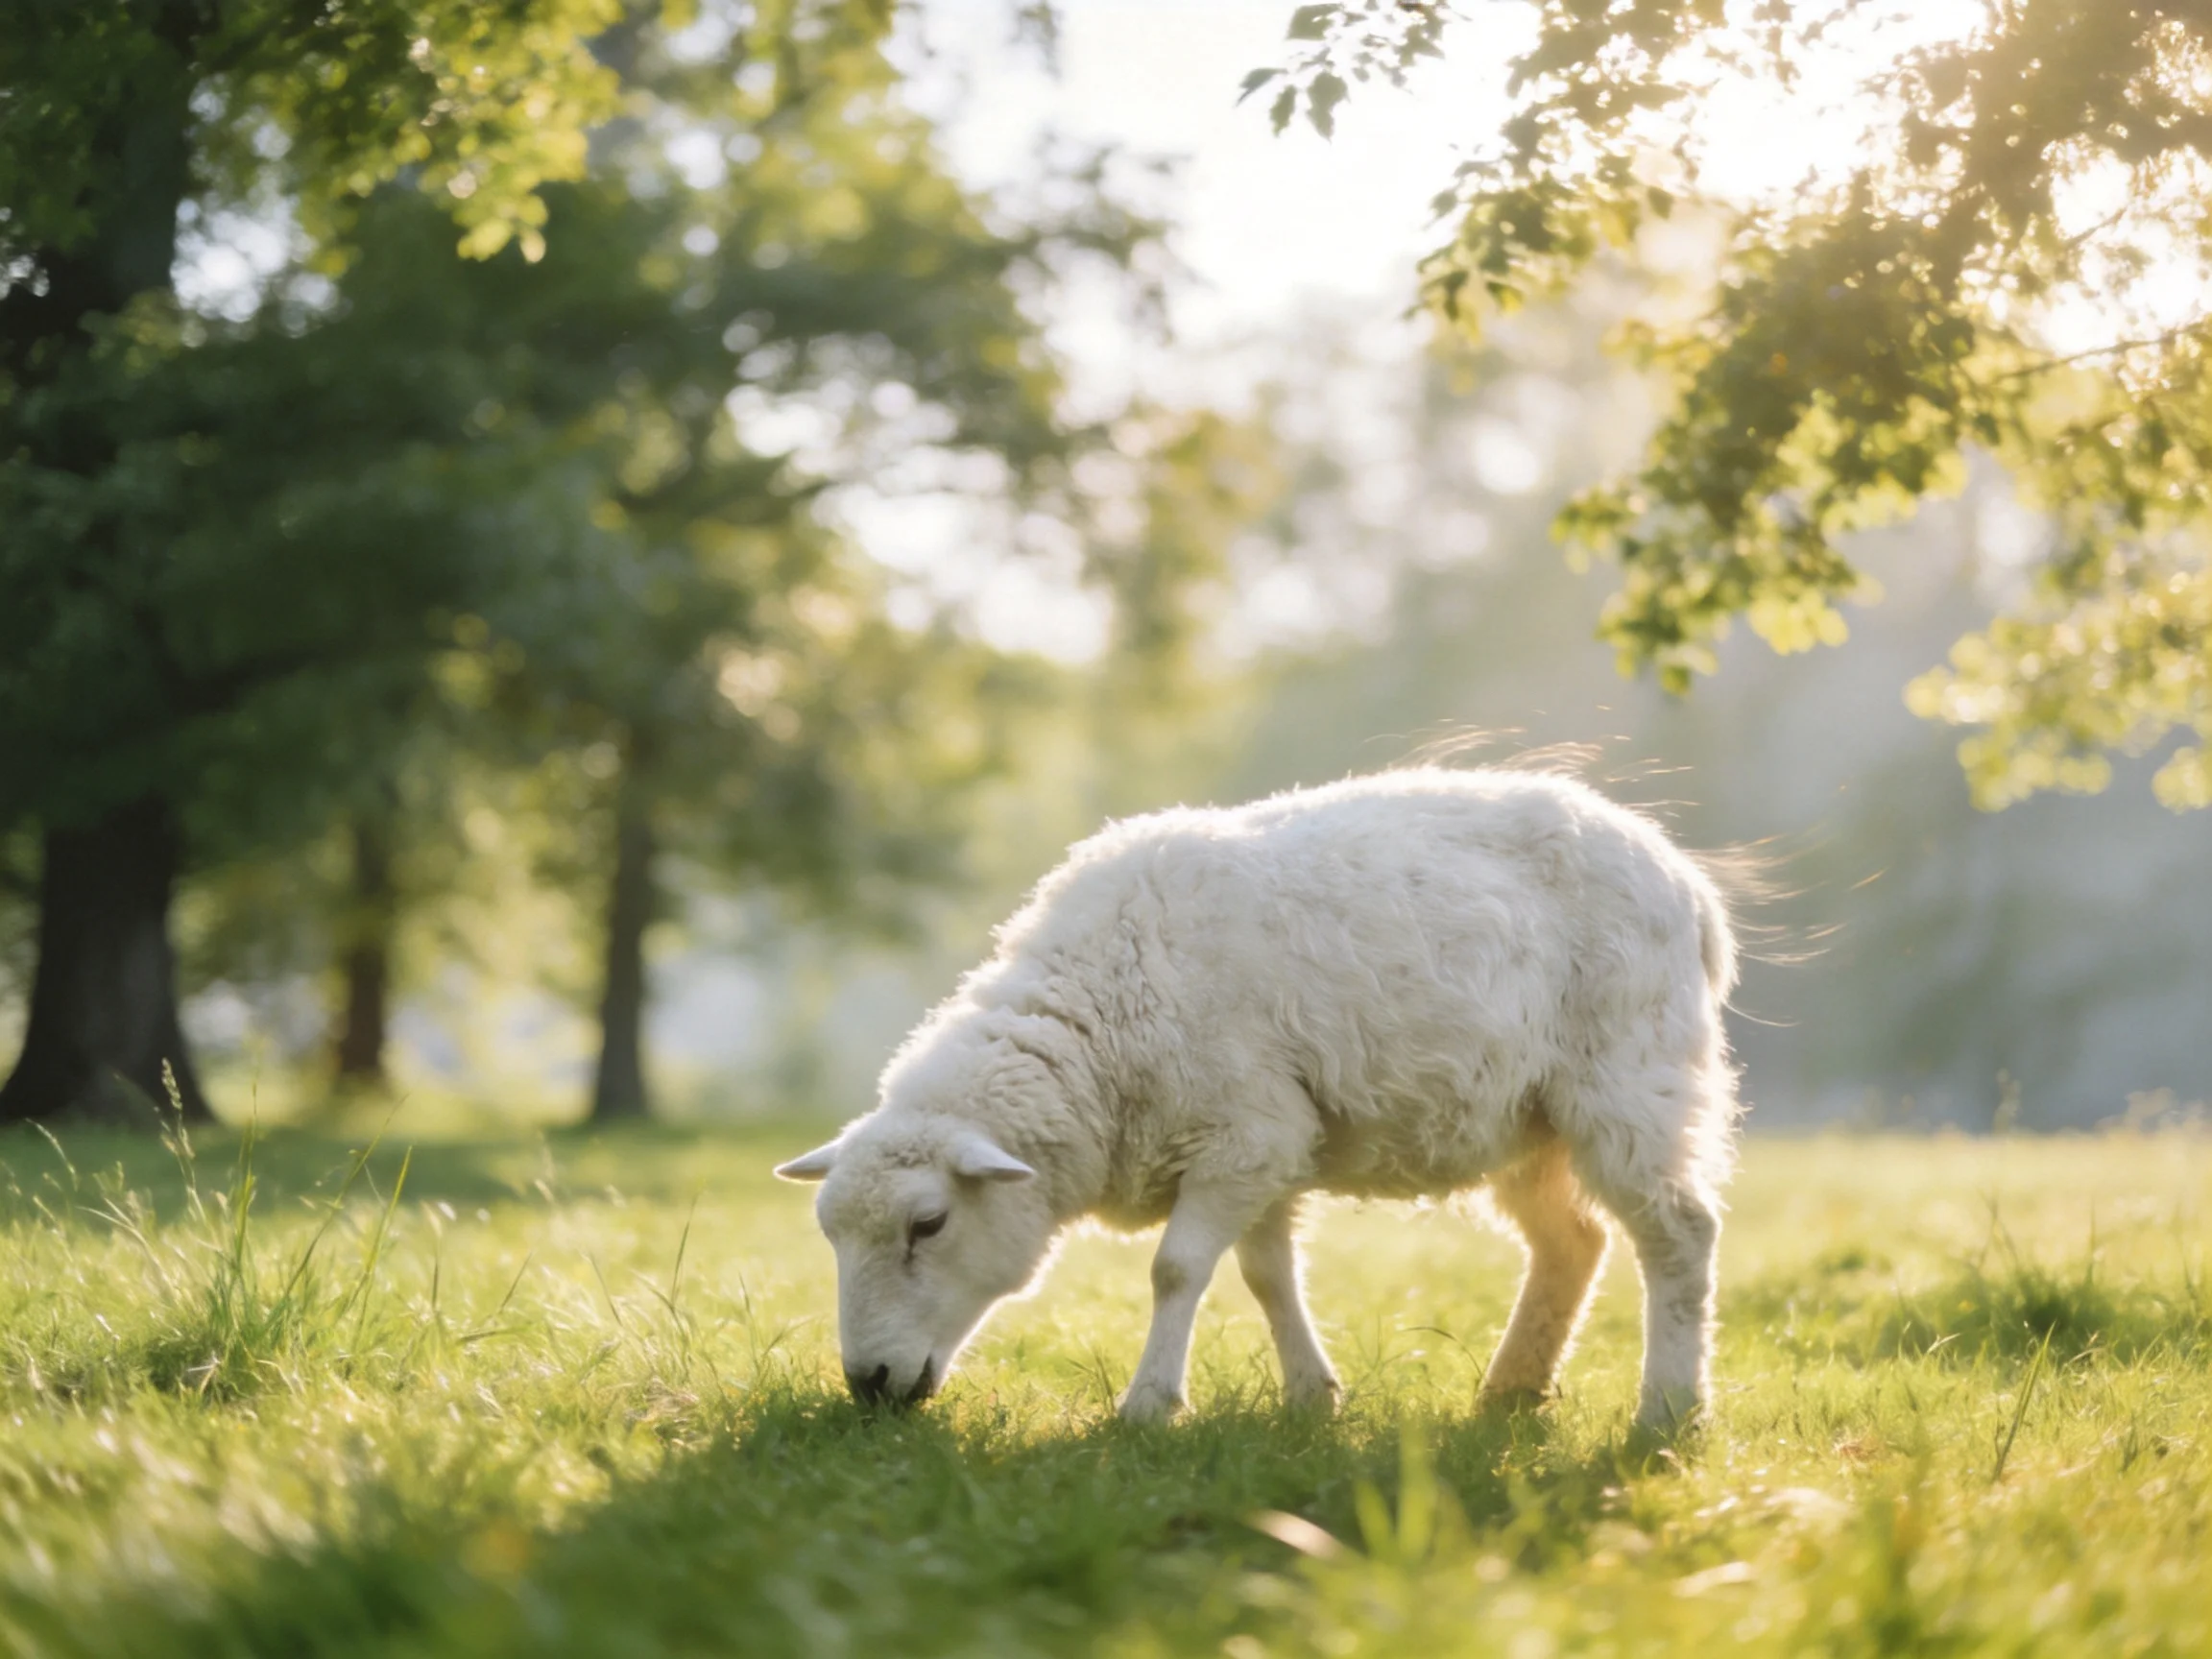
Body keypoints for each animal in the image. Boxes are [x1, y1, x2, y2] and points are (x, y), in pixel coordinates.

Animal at [775, 765, 1741, 1428]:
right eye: (828, 1235)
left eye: (928, 1224)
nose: (868, 1386)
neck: (1101, 1017)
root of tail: (1689, 884)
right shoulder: (1269, 1142)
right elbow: (1266, 1273)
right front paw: (1312, 1394)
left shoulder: (1243, 1132)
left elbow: (1175, 1269)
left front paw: (1149, 1404)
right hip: (1530, 1120)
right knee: (1572, 1241)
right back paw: (1511, 1390)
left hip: (1631, 1078)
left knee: (1680, 1234)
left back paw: (1669, 1410)